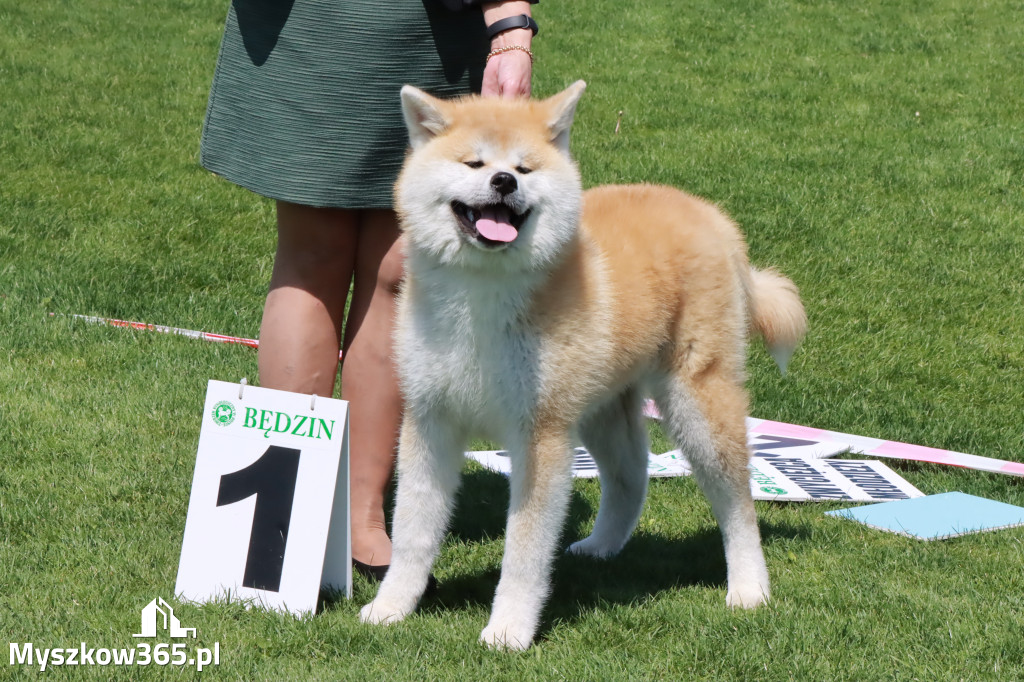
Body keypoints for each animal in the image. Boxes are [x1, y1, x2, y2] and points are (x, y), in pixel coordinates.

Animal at [360, 80, 806, 647]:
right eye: (474, 162)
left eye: (524, 168)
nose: (503, 181)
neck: (481, 296)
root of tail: (714, 217)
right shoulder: (430, 419)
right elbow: (413, 533)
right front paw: (391, 607)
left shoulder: (540, 435)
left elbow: (524, 550)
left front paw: (508, 631)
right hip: (600, 405)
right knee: (630, 476)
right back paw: (602, 547)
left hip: (696, 401)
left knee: (738, 502)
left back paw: (749, 588)